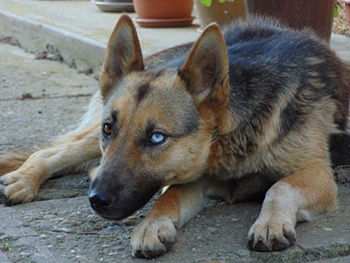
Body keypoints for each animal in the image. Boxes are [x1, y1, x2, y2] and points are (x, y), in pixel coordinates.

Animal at [0, 13, 350, 258]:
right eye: (109, 129)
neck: (230, 138)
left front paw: (270, 222)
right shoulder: (194, 178)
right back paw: (23, 179)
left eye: (157, 138)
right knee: (52, 152)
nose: (96, 200)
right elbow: (169, 195)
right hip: (88, 142)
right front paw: (151, 225)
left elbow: (279, 187)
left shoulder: (317, 173)